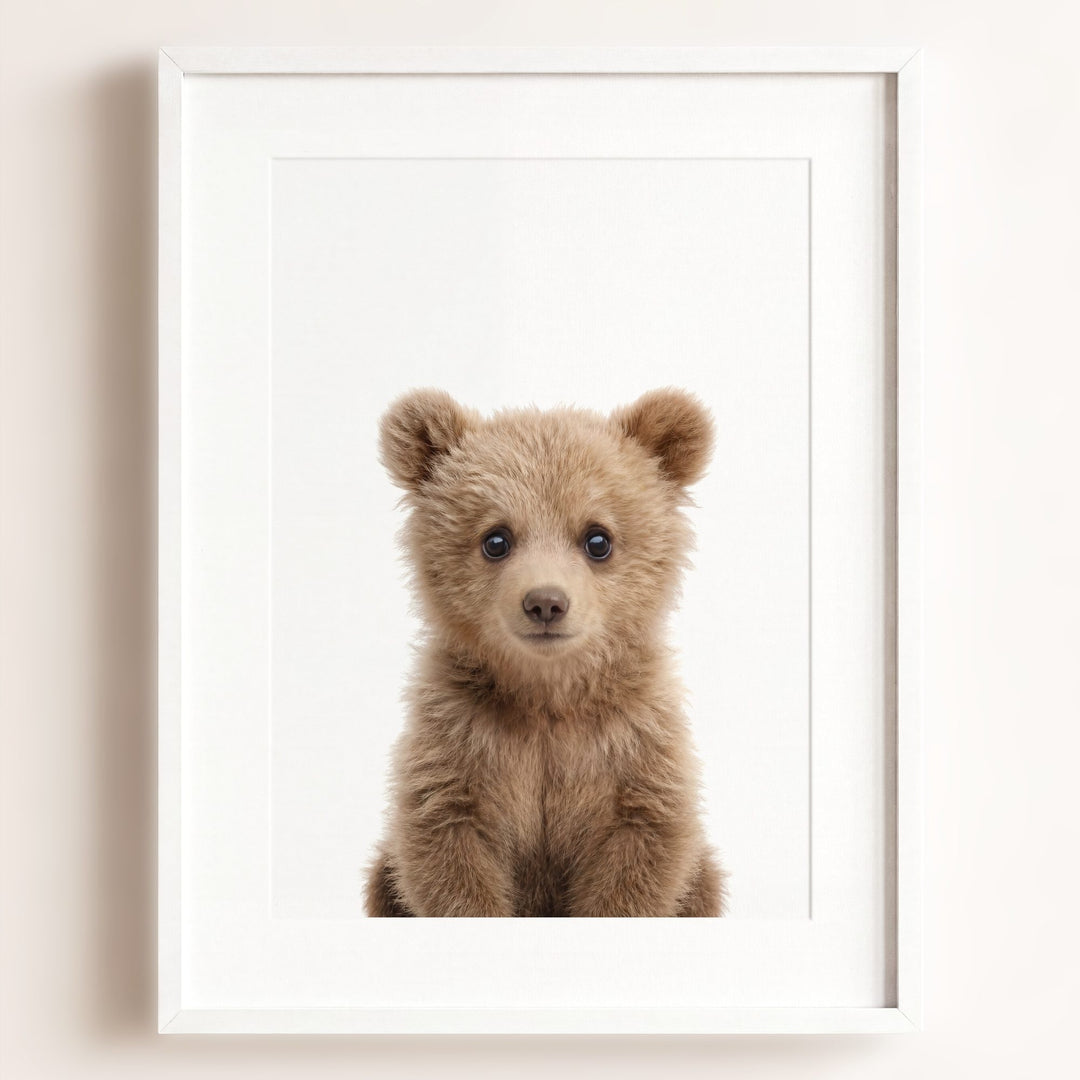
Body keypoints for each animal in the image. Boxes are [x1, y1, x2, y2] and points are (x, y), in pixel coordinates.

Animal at [365, 387, 726, 917]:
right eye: (496, 539)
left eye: (598, 538)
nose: (546, 602)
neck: (547, 694)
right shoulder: (458, 741)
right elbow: (447, 849)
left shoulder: (633, 746)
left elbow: (640, 852)